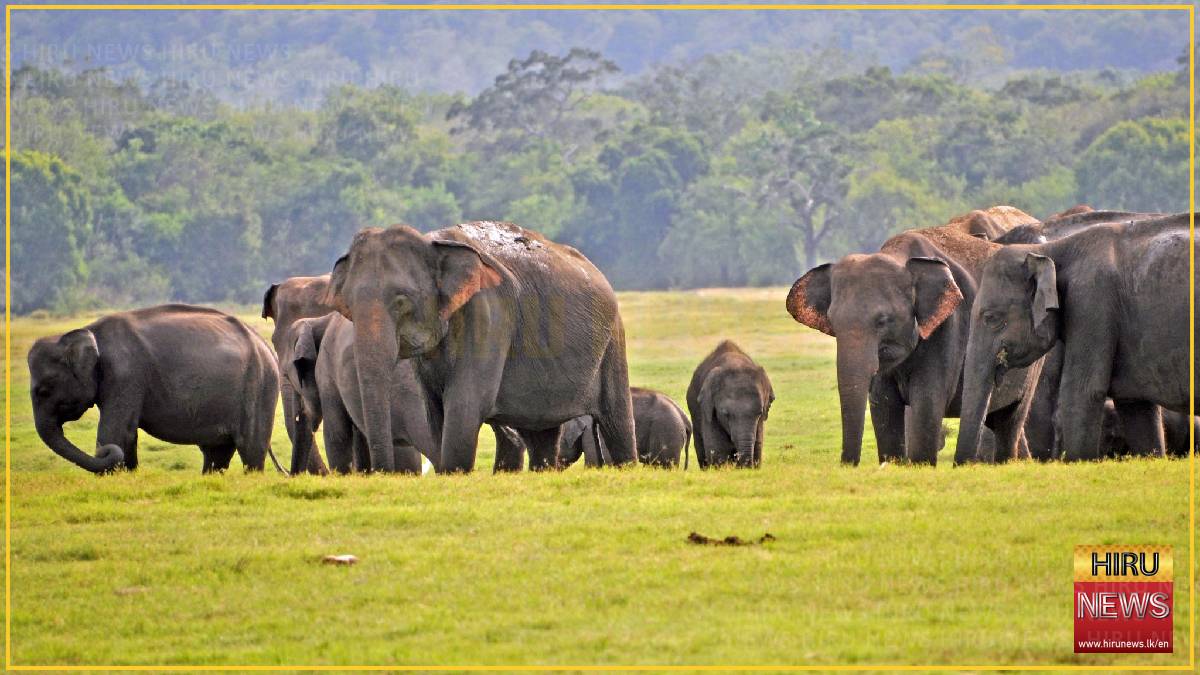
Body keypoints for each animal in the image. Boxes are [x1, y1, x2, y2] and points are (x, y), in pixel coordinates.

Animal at [27, 304, 283, 474]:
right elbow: (128, 434)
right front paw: (127, 474)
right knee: (216, 452)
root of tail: (264, 345)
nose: (103, 452)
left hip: (259, 387)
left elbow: (115, 432)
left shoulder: (125, 375)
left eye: (43, 391)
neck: (88, 332)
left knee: (251, 450)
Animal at [325, 221, 637, 473]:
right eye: (347, 304)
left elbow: (465, 404)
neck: (432, 243)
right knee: (542, 436)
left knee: (617, 422)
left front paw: (454, 474)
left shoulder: (488, 316)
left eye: (402, 301)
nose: (381, 471)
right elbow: (435, 411)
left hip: (612, 341)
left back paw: (626, 466)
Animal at [786, 206, 1044, 466]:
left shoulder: (947, 328)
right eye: (833, 322)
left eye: (883, 321)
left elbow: (926, 403)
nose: (848, 465)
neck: (899, 256)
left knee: (1010, 420)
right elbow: (884, 405)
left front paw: (920, 465)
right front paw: (893, 463)